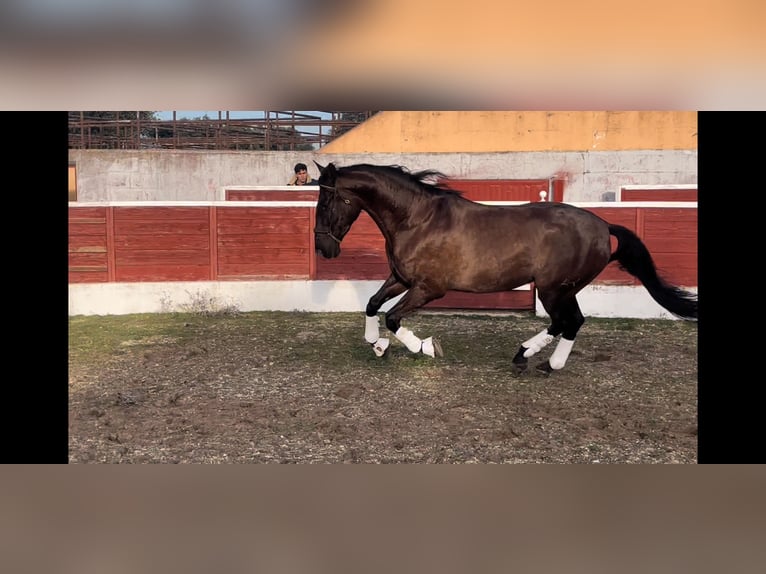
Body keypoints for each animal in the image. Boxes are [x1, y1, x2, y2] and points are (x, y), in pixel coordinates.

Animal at [314, 162, 704, 374]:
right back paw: (532, 358)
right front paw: (376, 344)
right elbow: (372, 305)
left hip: (553, 289)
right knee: (570, 322)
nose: (323, 248)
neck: (417, 219)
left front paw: (424, 347)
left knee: (568, 322)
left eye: (327, 200)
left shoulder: (429, 288)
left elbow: (394, 318)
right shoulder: (400, 278)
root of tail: (602, 225)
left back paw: (536, 360)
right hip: (563, 289)